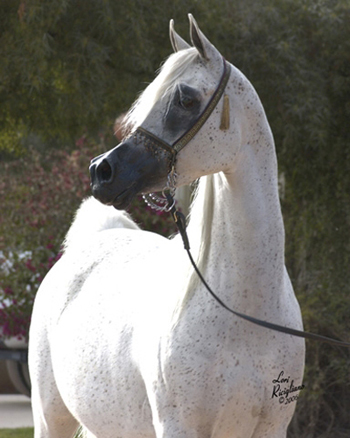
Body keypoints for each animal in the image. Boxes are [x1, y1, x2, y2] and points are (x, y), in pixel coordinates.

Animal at [29, 13, 304, 438]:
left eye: (185, 99)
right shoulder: (179, 426)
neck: (245, 310)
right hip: (49, 416)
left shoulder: (273, 427)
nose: (101, 171)